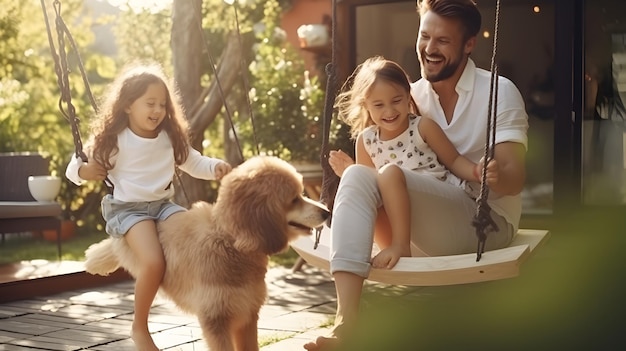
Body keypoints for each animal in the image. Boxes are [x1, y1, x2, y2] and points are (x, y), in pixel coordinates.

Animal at [84, 157, 330, 351]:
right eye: (294, 199)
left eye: (301, 194)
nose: (326, 212)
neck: (231, 243)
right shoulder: (216, 320)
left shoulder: (247, 314)